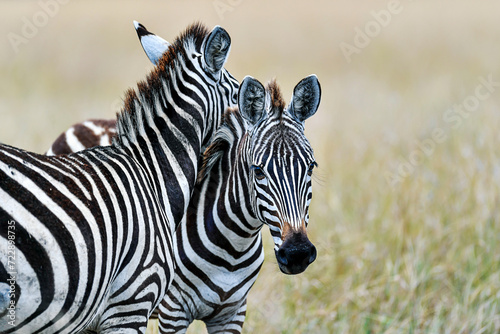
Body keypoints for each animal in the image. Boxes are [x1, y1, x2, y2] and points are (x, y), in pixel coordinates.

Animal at [42, 74, 320, 332]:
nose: (297, 254)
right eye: (258, 171)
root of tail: (83, 124)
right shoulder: (173, 311)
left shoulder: (233, 313)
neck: (232, 246)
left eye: (311, 167)